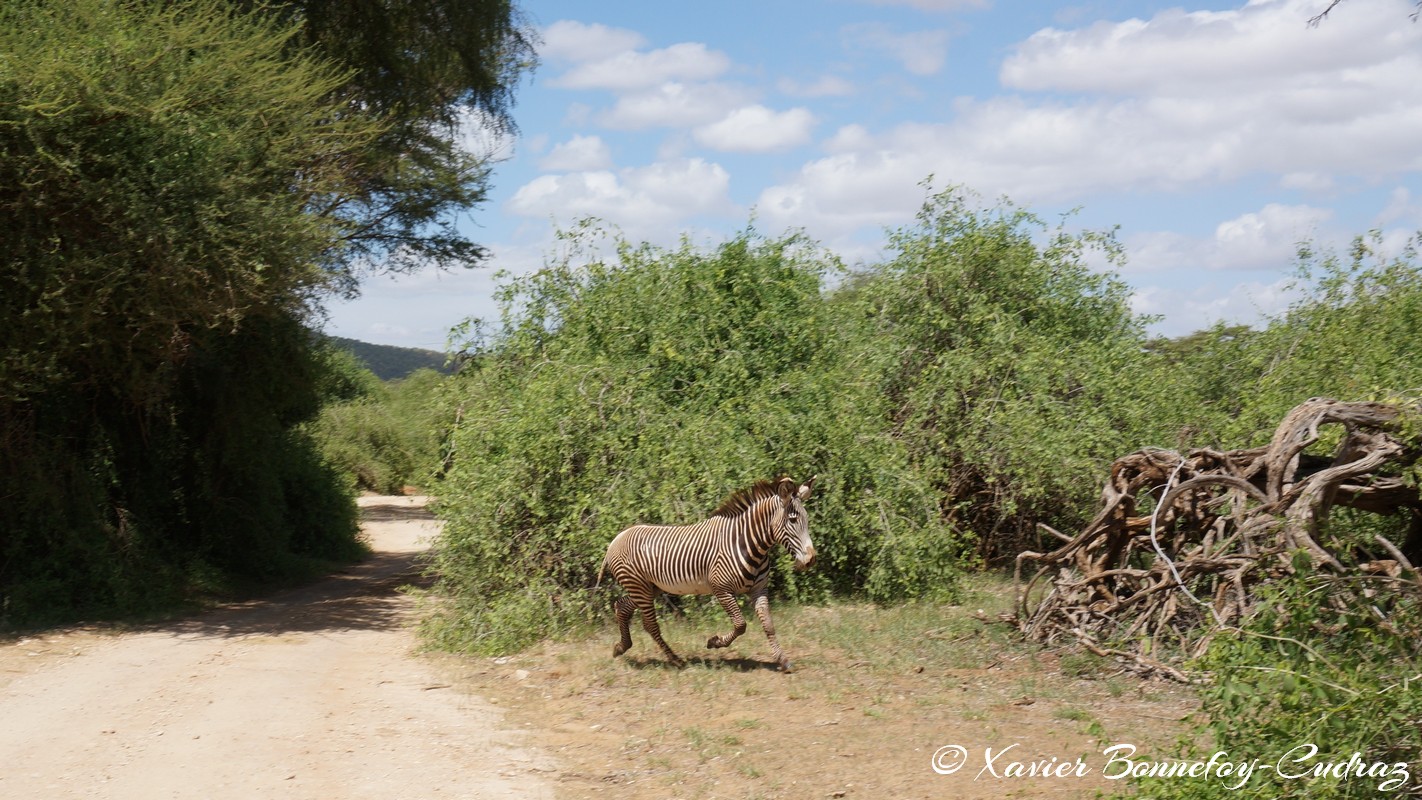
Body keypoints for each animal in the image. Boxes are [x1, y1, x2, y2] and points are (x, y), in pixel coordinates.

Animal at [600, 480, 819, 673]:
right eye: (792, 520)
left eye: (807, 520)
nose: (811, 560)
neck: (748, 544)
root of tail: (617, 538)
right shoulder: (721, 589)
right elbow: (741, 625)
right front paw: (714, 642)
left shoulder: (759, 589)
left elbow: (769, 626)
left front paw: (783, 660)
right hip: (639, 587)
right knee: (650, 624)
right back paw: (675, 660)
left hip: (649, 588)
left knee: (622, 607)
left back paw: (621, 647)